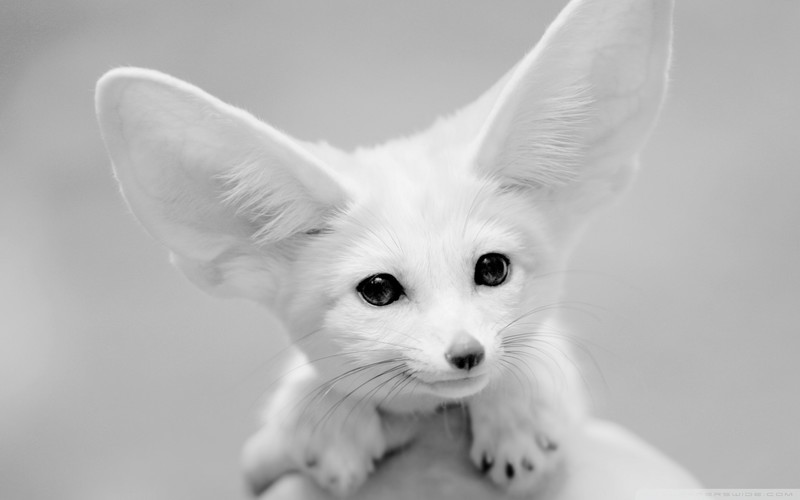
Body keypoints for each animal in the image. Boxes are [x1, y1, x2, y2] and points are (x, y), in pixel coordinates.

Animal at [96, 0, 673, 496]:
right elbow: (311, 388)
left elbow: (534, 354)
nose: (467, 353)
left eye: (492, 268)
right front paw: (328, 420)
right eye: (378, 289)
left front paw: (517, 412)